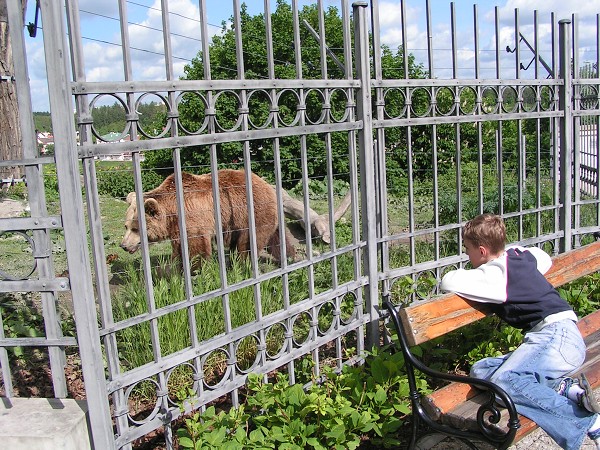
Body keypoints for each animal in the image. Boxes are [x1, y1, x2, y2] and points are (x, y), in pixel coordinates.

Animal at [120, 171, 296, 266]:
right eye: (126, 226)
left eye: (136, 228)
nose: (123, 245)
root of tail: (266, 184)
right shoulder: (177, 229)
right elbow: (179, 249)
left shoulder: (193, 217)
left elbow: (197, 247)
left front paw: (194, 269)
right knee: (275, 236)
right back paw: (288, 255)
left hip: (250, 212)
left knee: (248, 242)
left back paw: (243, 262)